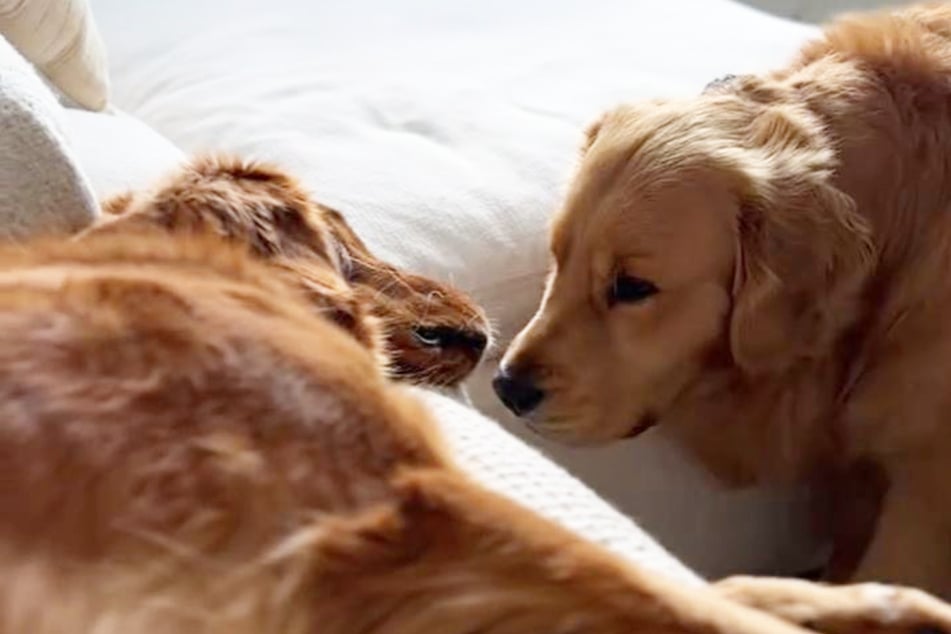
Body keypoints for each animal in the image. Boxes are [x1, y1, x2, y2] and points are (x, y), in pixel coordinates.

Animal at [1, 232, 951, 632]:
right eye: (351, 243)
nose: (490, 347)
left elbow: (718, 588)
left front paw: (879, 604)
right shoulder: (398, 500)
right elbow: (670, 594)